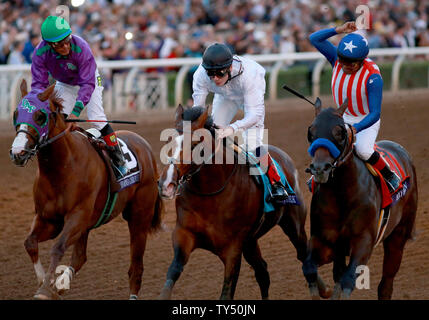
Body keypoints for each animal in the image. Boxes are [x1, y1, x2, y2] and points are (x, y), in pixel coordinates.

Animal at [10, 80, 164, 300]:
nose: (18, 153)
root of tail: (145, 146)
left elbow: (57, 248)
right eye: (16, 113)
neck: (62, 167)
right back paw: (62, 284)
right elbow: (30, 243)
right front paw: (45, 281)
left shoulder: (77, 215)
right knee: (80, 257)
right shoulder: (49, 219)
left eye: (40, 116)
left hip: (139, 218)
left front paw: (45, 288)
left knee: (136, 266)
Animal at [157, 105, 328, 300]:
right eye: (168, 142)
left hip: (294, 226)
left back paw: (323, 290)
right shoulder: (183, 234)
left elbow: (226, 293)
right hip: (251, 241)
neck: (209, 195)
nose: (166, 184)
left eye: (194, 145)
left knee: (303, 255)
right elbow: (173, 272)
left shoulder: (233, 249)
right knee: (262, 271)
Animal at [300, 100, 418, 300]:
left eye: (340, 132)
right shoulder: (324, 241)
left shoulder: (364, 241)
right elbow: (309, 268)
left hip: (398, 235)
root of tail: (401, 151)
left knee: (386, 284)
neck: (341, 195)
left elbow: (347, 281)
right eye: (311, 131)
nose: (320, 168)